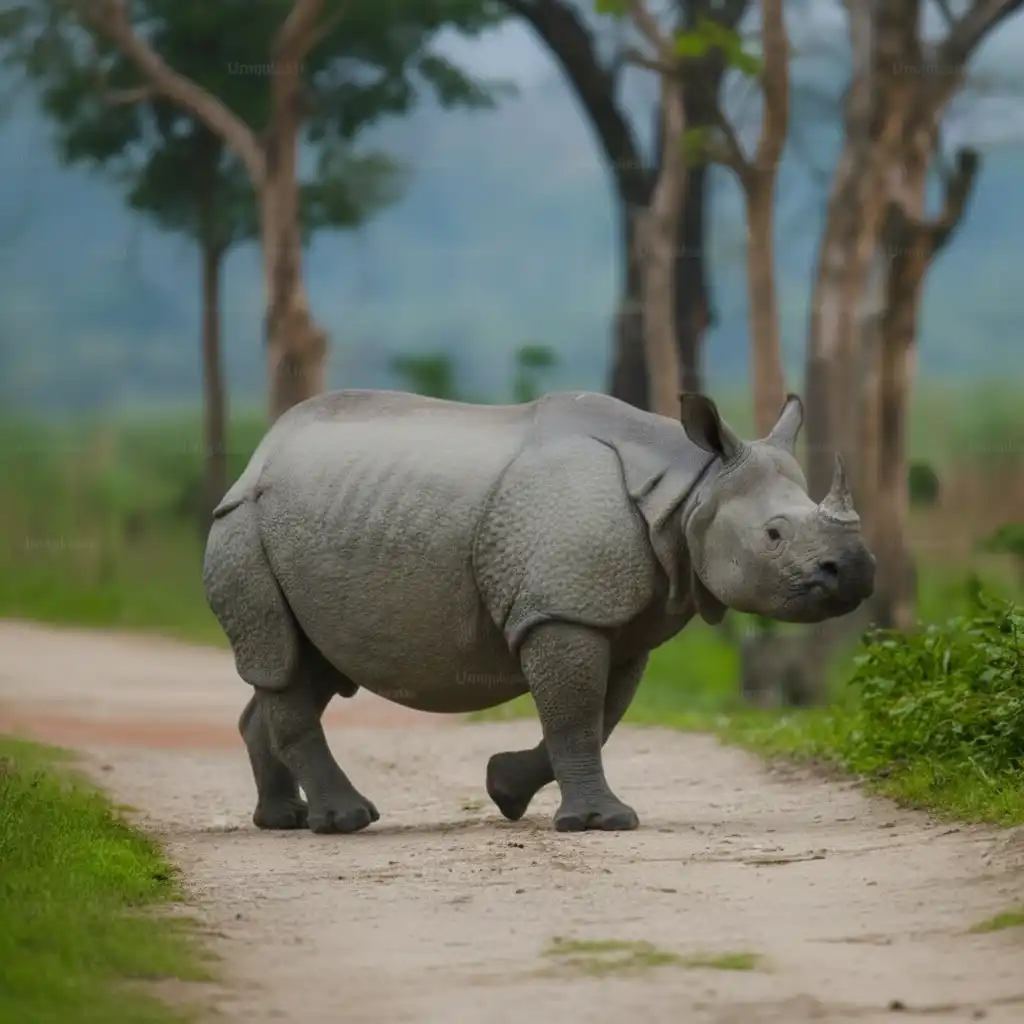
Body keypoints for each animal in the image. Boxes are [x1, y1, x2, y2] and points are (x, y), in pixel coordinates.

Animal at [203, 388, 874, 834]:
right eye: (774, 536)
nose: (857, 571)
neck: (690, 487)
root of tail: (257, 457)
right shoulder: (564, 609)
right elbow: (575, 712)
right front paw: (602, 823)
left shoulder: (618, 619)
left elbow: (600, 715)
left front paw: (505, 790)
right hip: (243, 526)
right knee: (282, 663)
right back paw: (347, 821)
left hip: (308, 527)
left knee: (308, 664)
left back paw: (284, 820)